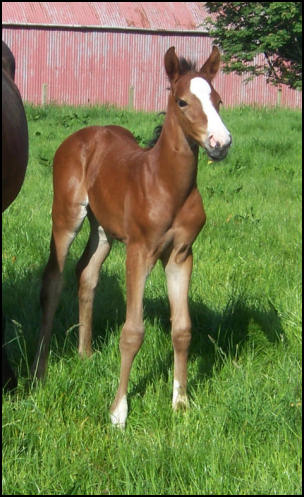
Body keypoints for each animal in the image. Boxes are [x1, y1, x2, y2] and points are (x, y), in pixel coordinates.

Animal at [32, 46, 230, 426]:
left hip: (104, 230)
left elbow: (182, 328)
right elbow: (132, 332)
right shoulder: (140, 251)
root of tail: (83, 136)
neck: (168, 185)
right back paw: (40, 369)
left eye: (218, 100)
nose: (221, 143)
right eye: (182, 101)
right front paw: (118, 412)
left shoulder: (181, 255)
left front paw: (180, 404)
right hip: (67, 216)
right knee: (53, 280)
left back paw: (84, 353)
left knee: (87, 274)